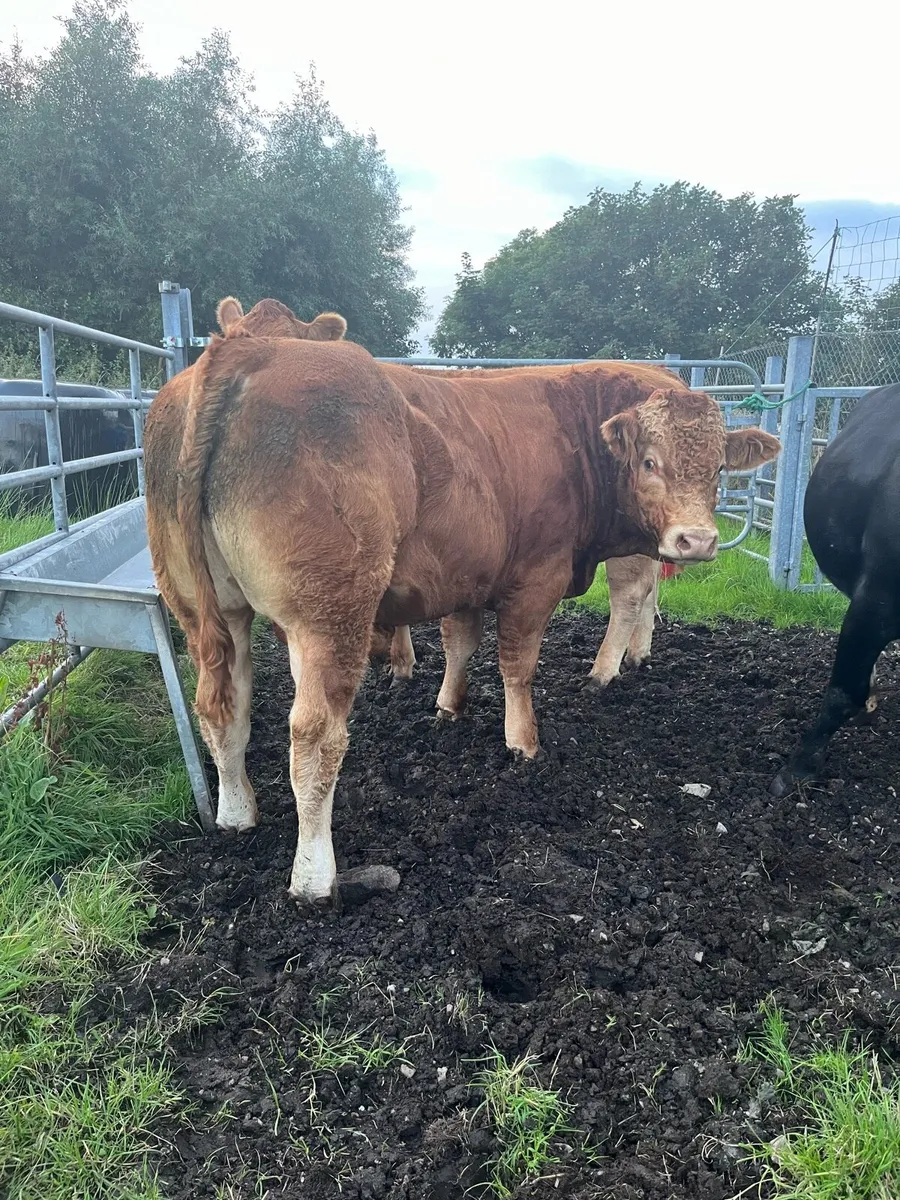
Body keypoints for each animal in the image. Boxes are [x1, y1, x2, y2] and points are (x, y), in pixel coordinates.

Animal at [145, 333, 779, 906]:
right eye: (650, 461)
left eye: (719, 468)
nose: (697, 540)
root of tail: (247, 348)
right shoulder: (536, 579)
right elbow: (518, 664)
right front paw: (522, 741)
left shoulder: (468, 576)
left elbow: (460, 643)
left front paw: (449, 706)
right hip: (329, 617)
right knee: (316, 739)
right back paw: (314, 879)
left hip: (209, 610)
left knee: (223, 708)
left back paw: (236, 814)